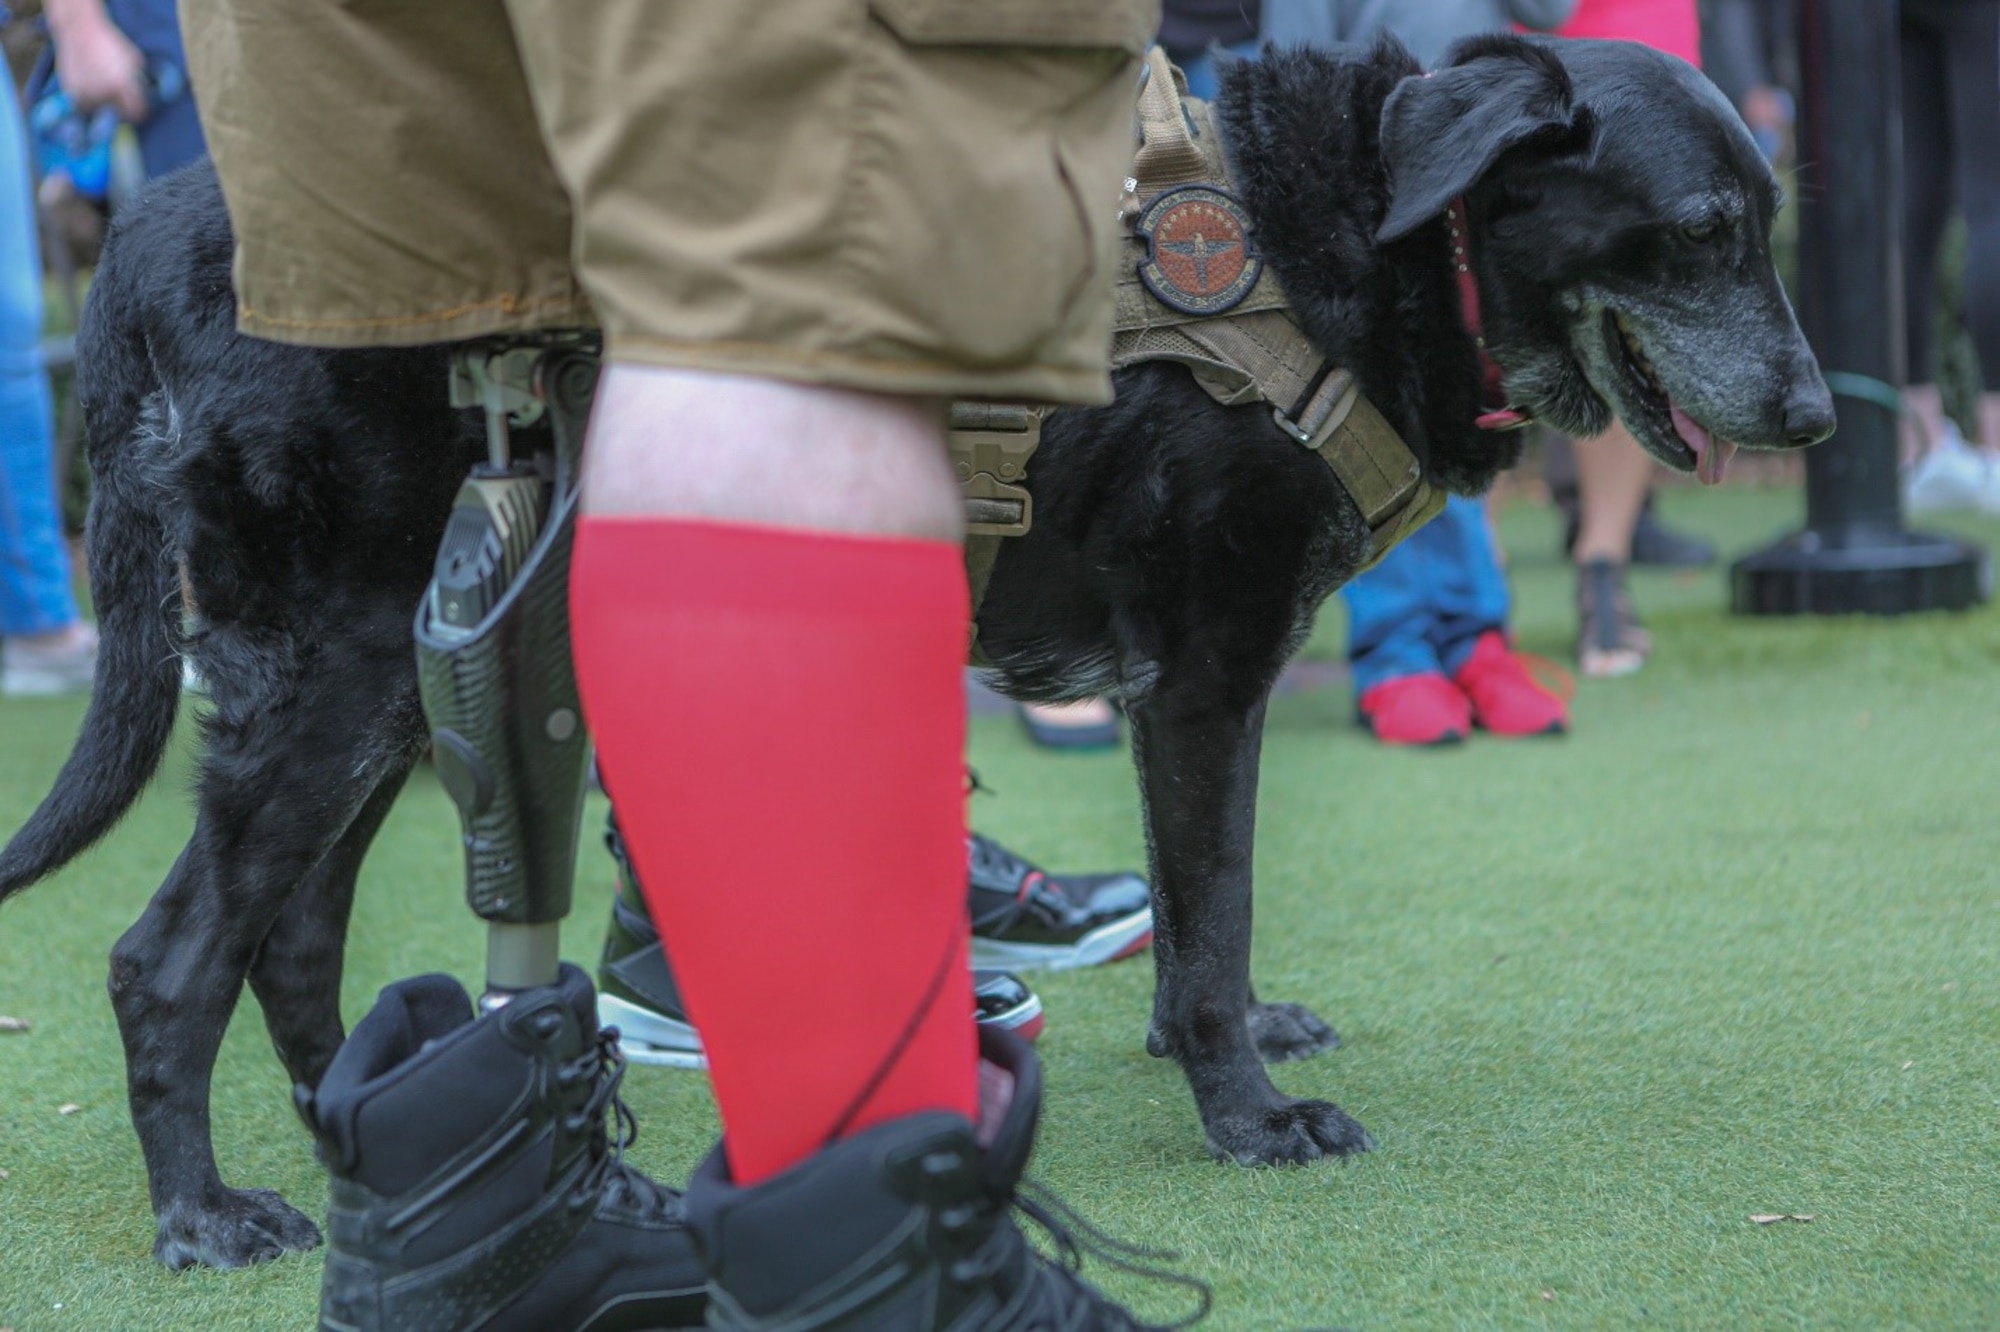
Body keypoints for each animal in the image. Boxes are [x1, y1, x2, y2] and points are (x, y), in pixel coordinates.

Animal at [0, 36, 1832, 1264]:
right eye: (1698, 229)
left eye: (1769, 220)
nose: (1818, 415)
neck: (1358, 230)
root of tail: (155, 228)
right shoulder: (1208, 667)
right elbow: (1216, 910)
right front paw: (1248, 1116)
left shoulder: (1184, 687)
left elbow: (1204, 915)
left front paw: (1222, 1043)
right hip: (343, 665)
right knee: (169, 958)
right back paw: (210, 1215)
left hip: (392, 672)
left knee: (295, 944)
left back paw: (388, 1159)